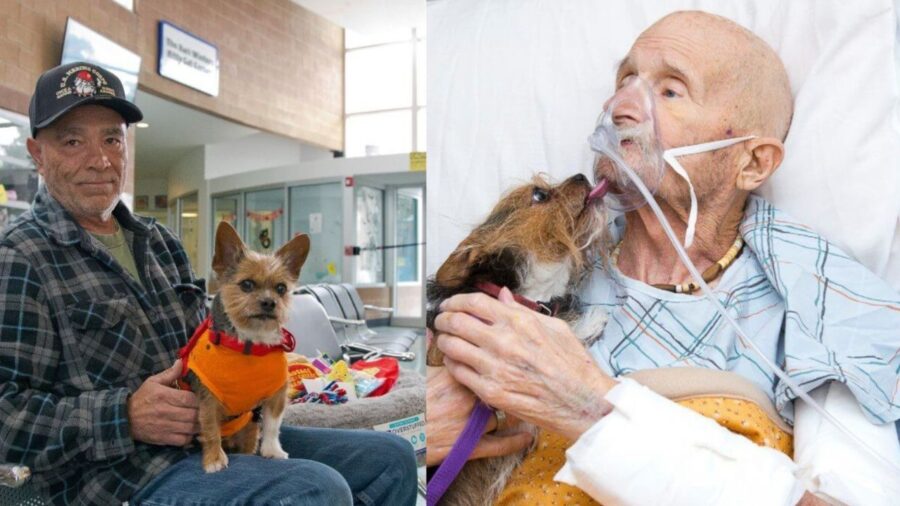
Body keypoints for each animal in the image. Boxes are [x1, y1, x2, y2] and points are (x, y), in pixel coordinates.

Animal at [181, 223, 312, 472]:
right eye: (247, 284)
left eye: (281, 288)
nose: (270, 302)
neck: (250, 344)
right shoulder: (208, 398)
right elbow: (210, 428)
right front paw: (214, 459)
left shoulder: (276, 393)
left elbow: (272, 425)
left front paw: (272, 450)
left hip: (248, 429)